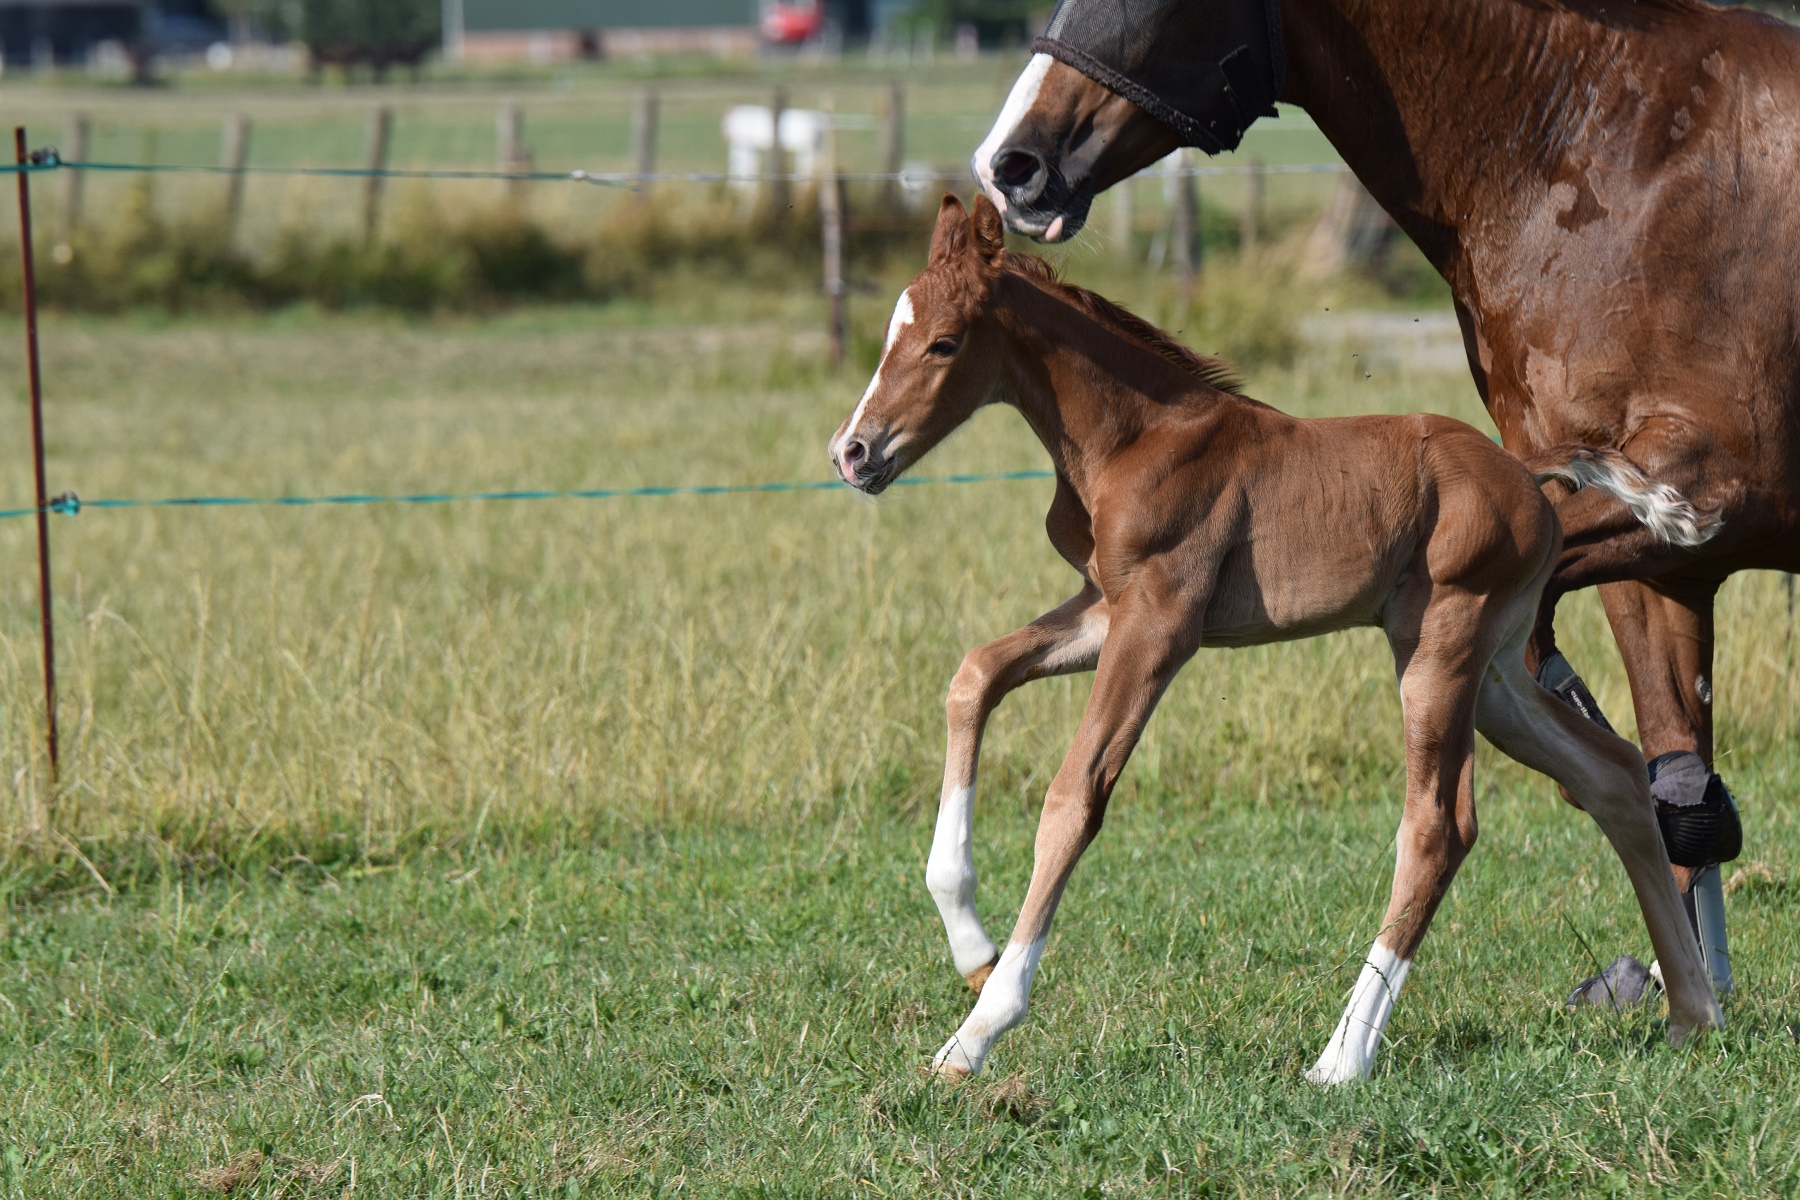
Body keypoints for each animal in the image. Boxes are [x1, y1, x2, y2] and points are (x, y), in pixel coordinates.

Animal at [835, 192, 1720, 1086]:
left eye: (944, 342)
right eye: (891, 335)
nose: (854, 452)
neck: (1135, 438)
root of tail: (1530, 473)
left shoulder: (1160, 622)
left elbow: (1073, 795)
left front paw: (978, 1030)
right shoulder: (1103, 608)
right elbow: (975, 675)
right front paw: (970, 946)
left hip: (1442, 646)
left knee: (1440, 825)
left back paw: (1343, 1056)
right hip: (1497, 670)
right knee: (1610, 774)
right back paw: (1692, 1012)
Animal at [972, 0, 1800, 993]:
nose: (1009, 165)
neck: (1609, 143)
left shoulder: (1705, 494)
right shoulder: (1660, 557)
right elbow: (1673, 772)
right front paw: (1686, 987)